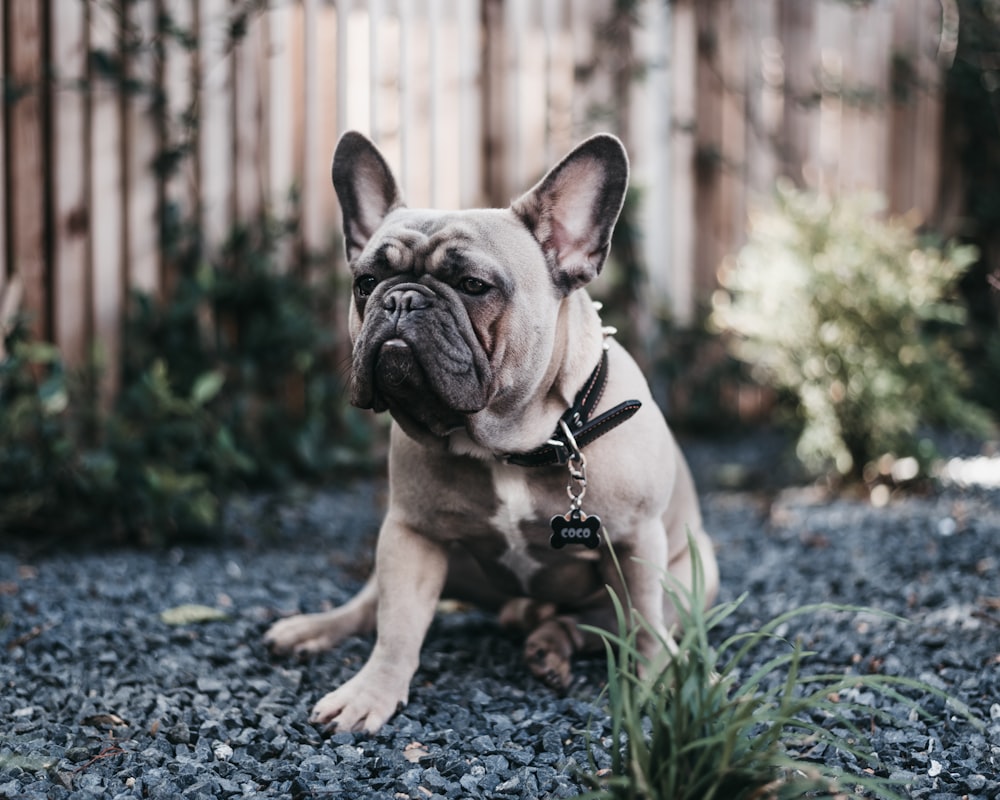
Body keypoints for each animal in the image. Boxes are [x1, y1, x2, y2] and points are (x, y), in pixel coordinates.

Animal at [266, 130, 720, 732]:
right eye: (365, 282)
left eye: (473, 285)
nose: (401, 298)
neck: (510, 446)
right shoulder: (412, 535)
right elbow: (397, 626)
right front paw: (371, 693)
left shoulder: (636, 540)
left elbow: (644, 623)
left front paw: (661, 686)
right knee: (368, 607)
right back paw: (312, 629)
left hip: (692, 577)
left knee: (603, 623)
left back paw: (552, 647)